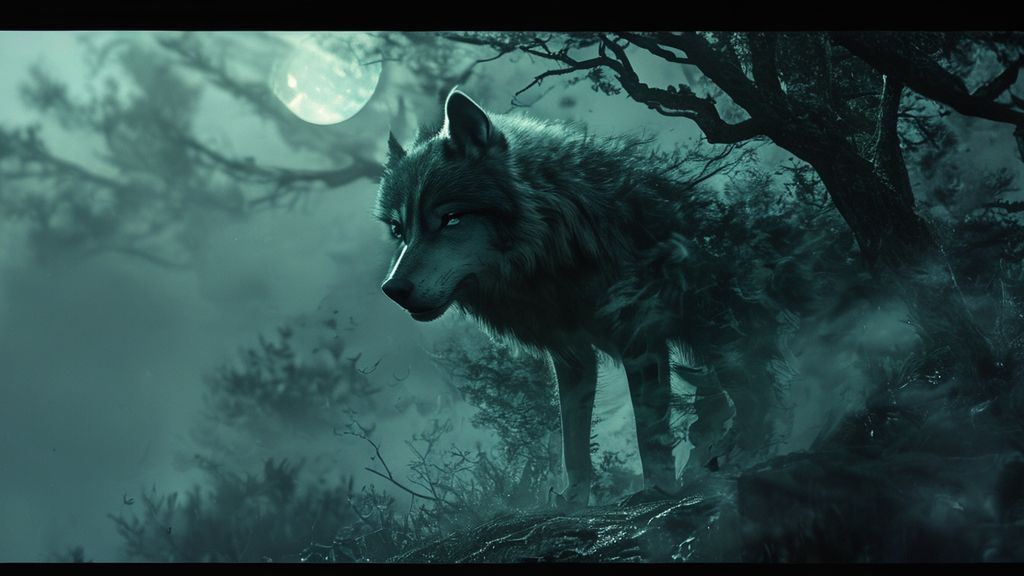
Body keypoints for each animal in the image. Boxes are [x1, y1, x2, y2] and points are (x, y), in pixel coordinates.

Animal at [374, 89, 769, 506]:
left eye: (450, 219)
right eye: (399, 230)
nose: (393, 289)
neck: (554, 249)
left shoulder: (640, 340)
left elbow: (649, 433)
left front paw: (657, 490)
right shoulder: (571, 356)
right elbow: (573, 444)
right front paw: (574, 501)